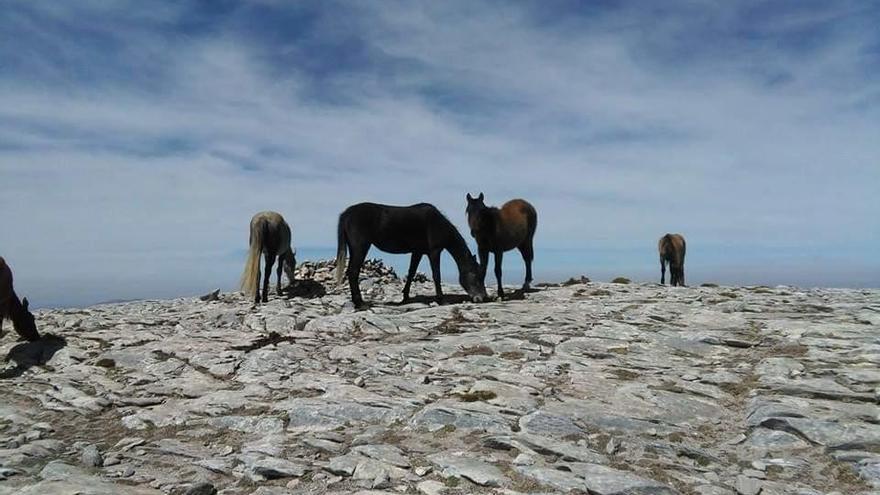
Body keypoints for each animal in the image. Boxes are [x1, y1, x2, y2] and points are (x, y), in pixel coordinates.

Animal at [336, 202, 488, 306]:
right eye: (476, 276)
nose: (483, 298)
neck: (438, 224)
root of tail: (346, 214)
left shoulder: (417, 252)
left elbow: (411, 273)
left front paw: (405, 297)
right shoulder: (434, 251)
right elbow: (436, 275)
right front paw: (441, 300)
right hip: (360, 247)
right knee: (353, 272)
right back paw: (360, 303)